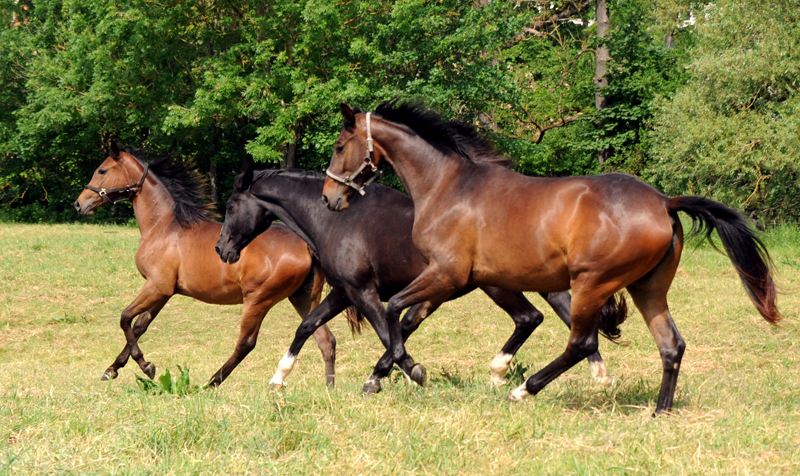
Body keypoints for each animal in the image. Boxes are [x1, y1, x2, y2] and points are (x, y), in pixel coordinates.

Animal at [74, 141, 338, 386]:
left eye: (102, 170)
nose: (79, 203)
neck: (163, 227)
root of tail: (306, 245)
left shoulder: (156, 286)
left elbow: (125, 318)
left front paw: (145, 365)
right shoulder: (164, 292)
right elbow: (139, 326)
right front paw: (114, 369)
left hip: (258, 300)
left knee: (246, 343)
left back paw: (211, 383)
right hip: (303, 298)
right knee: (324, 338)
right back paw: (329, 389)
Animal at [211, 169, 620, 392]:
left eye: (230, 207)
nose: (221, 249)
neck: (336, 219)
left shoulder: (363, 291)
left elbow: (384, 332)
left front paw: (409, 373)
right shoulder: (345, 292)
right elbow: (308, 326)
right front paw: (278, 378)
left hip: (499, 285)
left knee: (531, 318)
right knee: (569, 316)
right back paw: (599, 376)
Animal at [322, 100, 780, 412]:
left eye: (341, 145)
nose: (329, 198)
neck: (447, 186)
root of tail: (664, 202)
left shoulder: (448, 275)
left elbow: (393, 311)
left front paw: (406, 370)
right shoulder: (462, 281)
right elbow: (405, 317)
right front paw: (380, 376)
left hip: (592, 284)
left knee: (582, 342)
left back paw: (524, 390)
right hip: (647, 288)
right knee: (671, 344)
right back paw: (659, 412)